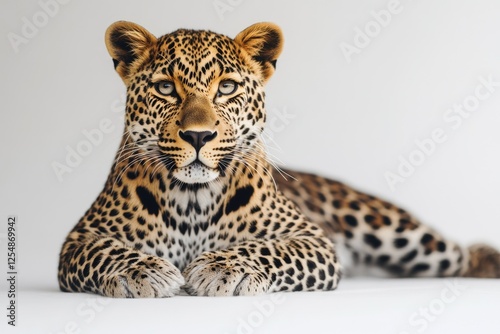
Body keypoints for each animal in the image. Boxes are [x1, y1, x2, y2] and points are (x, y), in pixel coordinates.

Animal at [56, 20, 498, 298]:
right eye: (166, 88)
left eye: (227, 88)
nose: (198, 135)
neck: (193, 198)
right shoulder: (78, 239)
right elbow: (106, 251)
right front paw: (145, 271)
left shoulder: (311, 238)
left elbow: (265, 248)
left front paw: (220, 268)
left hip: (393, 231)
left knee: (459, 252)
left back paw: (488, 261)